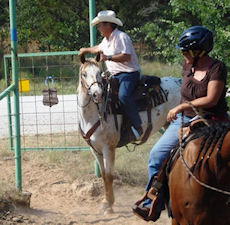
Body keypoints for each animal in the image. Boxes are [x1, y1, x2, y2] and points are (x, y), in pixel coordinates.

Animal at [77, 53, 181, 214]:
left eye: (99, 73)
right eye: (84, 74)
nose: (97, 94)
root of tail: (180, 82)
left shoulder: (109, 148)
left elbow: (109, 175)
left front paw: (110, 205)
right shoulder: (95, 149)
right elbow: (103, 176)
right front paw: (105, 202)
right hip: (168, 125)